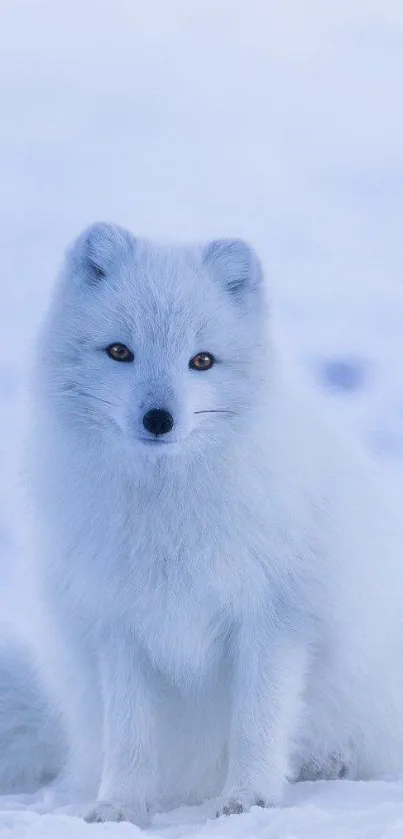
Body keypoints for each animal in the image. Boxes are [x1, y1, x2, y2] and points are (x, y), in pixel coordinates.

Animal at [0, 220, 403, 824]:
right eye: (119, 351)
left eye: (203, 361)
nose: (159, 419)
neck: (168, 510)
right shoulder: (119, 625)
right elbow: (130, 734)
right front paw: (119, 807)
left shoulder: (274, 618)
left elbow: (258, 723)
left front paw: (248, 801)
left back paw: (329, 765)